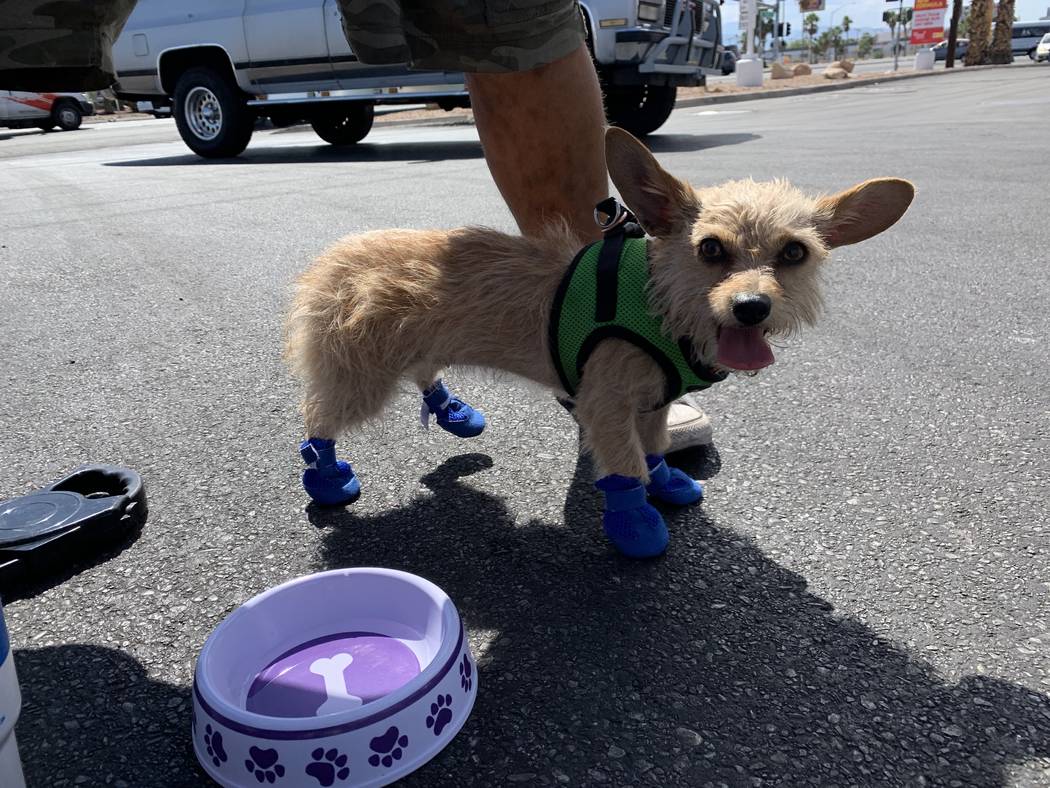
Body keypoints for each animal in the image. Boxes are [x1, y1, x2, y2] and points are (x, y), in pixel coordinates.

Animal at [283, 126, 915, 558]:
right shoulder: (606, 405)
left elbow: (654, 450)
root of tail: (329, 261)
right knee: (318, 419)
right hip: (361, 376)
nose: (751, 307)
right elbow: (626, 467)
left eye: (794, 252)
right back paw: (327, 478)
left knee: (423, 371)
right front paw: (635, 523)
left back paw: (453, 412)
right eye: (711, 248)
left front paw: (668, 482)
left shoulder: (653, 402)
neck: (660, 303)